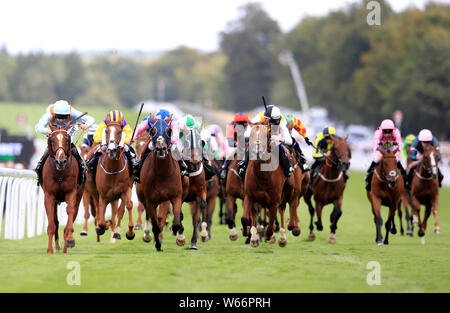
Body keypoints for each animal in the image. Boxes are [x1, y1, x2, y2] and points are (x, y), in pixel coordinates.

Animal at [42, 120, 85, 252]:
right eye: (52, 141)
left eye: (66, 140)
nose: (60, 161)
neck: (60, 173)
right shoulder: (49, 195)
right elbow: (52, 223)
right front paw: (49, 250)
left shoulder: (71, 192)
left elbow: (70, 212)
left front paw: (70, 240)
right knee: (55, 220)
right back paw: (57, 245)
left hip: (79, 195)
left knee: (73, 214)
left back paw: (66, 245)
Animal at [135, 114, 183, 251]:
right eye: (153, 131)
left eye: (169, 130)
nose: (161, 148)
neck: (163, 173)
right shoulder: (150, 200)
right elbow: (155, 225)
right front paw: (157, 243)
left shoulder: (176, 196)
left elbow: (176, 223)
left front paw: (179, 237)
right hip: (143, 197)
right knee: (147, 214)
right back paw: (147, 235)